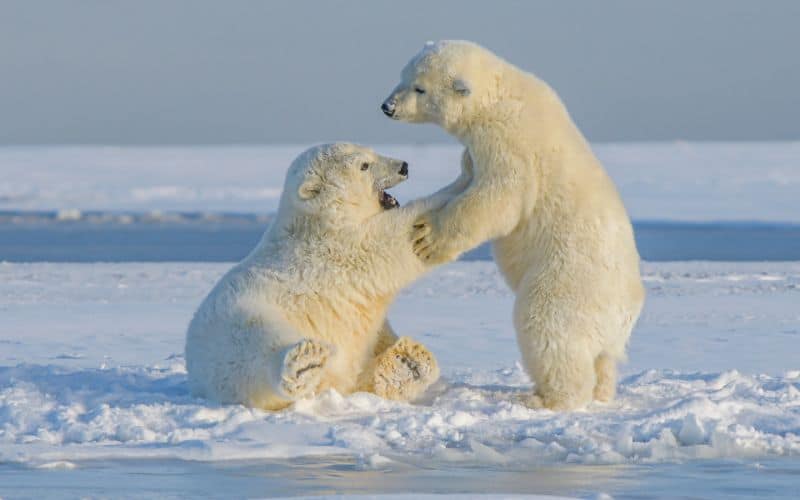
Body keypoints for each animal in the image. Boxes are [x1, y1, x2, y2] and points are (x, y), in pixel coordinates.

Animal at [186, 144, 444, 410]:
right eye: (364, 165)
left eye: (372, 152)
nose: (404, 166)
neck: (317, 220)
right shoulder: (337, 250)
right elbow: (388, 242)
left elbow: (374, 333)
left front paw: (407, 360)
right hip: (237, 324)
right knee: (257, 345)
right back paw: (303, 364)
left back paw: (406, 361)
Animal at [380, 40, 644, 410]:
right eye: (403, 76)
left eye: (420, 88)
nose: (387, 107)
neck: (501, 92)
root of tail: (626, 312)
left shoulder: (509, 142)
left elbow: (498, 197)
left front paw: (428, 238)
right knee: (603, 359)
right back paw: (601, 392)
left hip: (567, 281)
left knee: (547, 328)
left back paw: (545, 398)